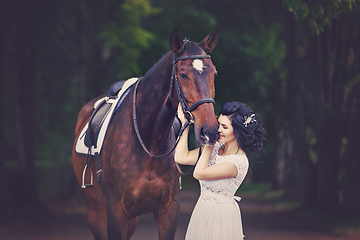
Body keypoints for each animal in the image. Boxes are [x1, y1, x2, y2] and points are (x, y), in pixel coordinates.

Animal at [71, 28, 219, 240]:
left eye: (213, 73)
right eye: (183, 75)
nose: (209, 131)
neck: (150, 143)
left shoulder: (168, 211)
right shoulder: (116, 212)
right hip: (96, 212)